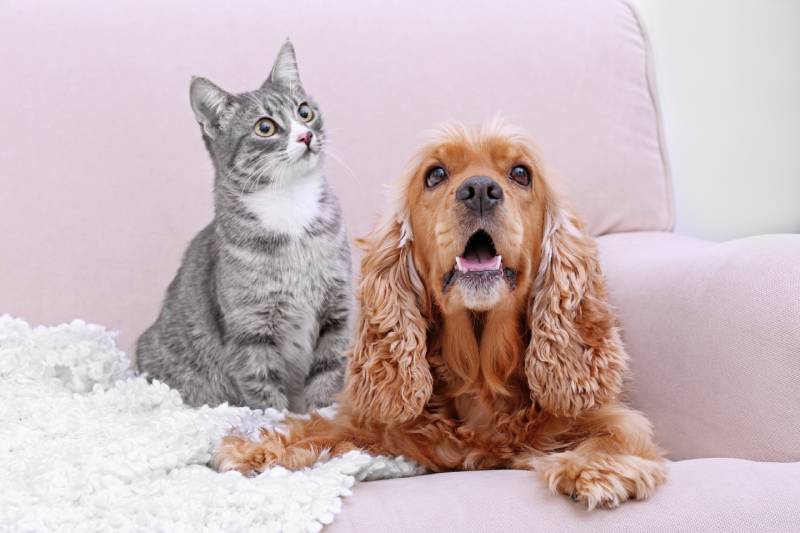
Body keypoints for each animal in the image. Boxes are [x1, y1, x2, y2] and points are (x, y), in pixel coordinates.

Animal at [136, 39, 352, 412]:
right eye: (265, 127)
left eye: (304, 111)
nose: (306, 135)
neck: (290, 207)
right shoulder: (249, 328)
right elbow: (262, 386)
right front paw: (279, 421)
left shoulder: (336, 311)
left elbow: (329, 371)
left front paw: (323, 415)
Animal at [214, 119, 668, 508]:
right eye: (435, 175)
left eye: (521, 173)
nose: (480, 189)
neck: (480, 374)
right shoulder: (380, 429)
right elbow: (321, 428)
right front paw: (257, 446)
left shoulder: (600, 417)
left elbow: (618, 432)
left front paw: (597, 468)